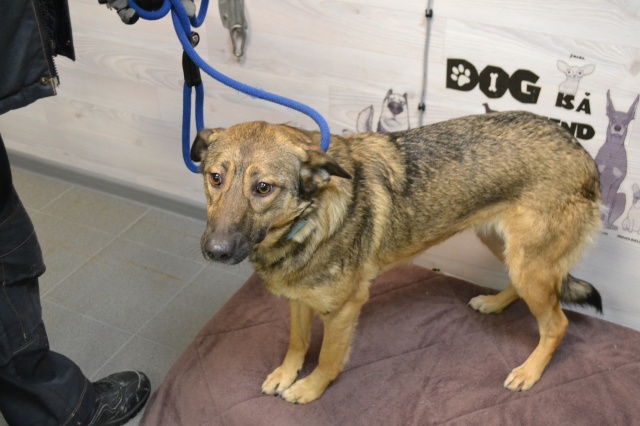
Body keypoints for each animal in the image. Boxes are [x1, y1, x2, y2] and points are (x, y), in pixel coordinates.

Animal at [190, 110, 603, 404]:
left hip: (529, 263)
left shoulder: (344, 309)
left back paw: (529, 371)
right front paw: (286, 373)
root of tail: (581, 152)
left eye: (263, 188)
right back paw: (494, 303)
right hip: (506, 247)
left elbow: (327, 359)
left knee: (557, 324)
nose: (215, 251)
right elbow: (298, 342)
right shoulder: (299, 298)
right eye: (215, 178)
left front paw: (309, 389)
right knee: (523, 290)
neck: (307, 220)